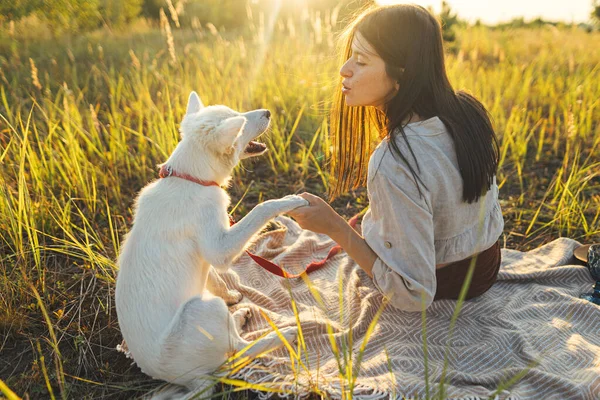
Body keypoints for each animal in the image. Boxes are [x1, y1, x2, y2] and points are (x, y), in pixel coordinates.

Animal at [115, 92, 308, 396]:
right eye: (239, 124)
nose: (267, 112)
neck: (192, 179)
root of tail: (191, 380)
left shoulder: (208, 253)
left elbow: (214, 279)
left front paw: (231, 296)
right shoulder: (219, 248)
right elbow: (261, 208)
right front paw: (287, 202)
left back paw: (239, 314)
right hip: (203, 310)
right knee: (239, 351)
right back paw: (284, 333)